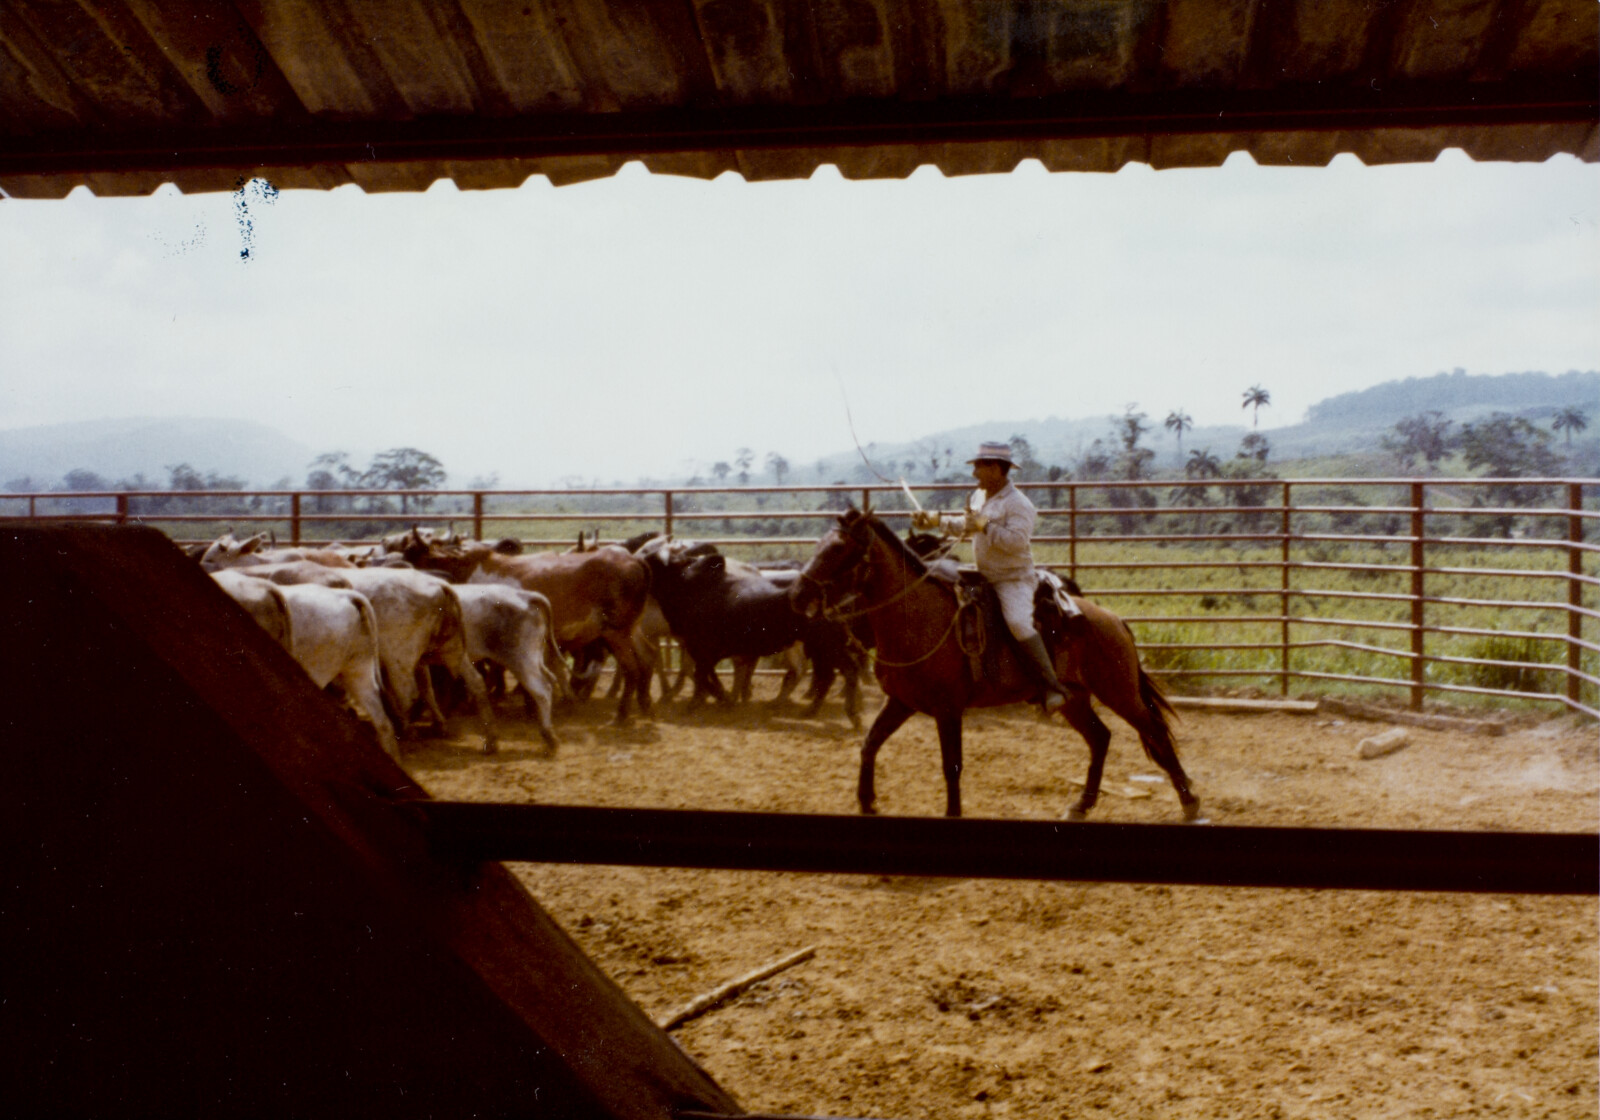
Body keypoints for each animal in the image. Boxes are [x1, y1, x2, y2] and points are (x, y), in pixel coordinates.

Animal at [396, 528, 652, 723]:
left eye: (411, 553)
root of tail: (634, 560)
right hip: (632, 631)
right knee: (647, 659)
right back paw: (645, 703)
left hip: (617, 633)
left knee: (632, 669)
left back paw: (621, 715)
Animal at [793, 508, 1196, 825]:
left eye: (839, 550)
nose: (797, 595)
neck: (921, 617)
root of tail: (1111, 618)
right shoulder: (902, 702)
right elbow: (869, 744)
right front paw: (866, 802)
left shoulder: (948, 709)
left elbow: (951, 765)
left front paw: (952, 813)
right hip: (1075, 699)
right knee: (1101, 738)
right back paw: (1081, 805)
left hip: (1119, 692)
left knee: (1156, 735)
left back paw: (1190, 803)